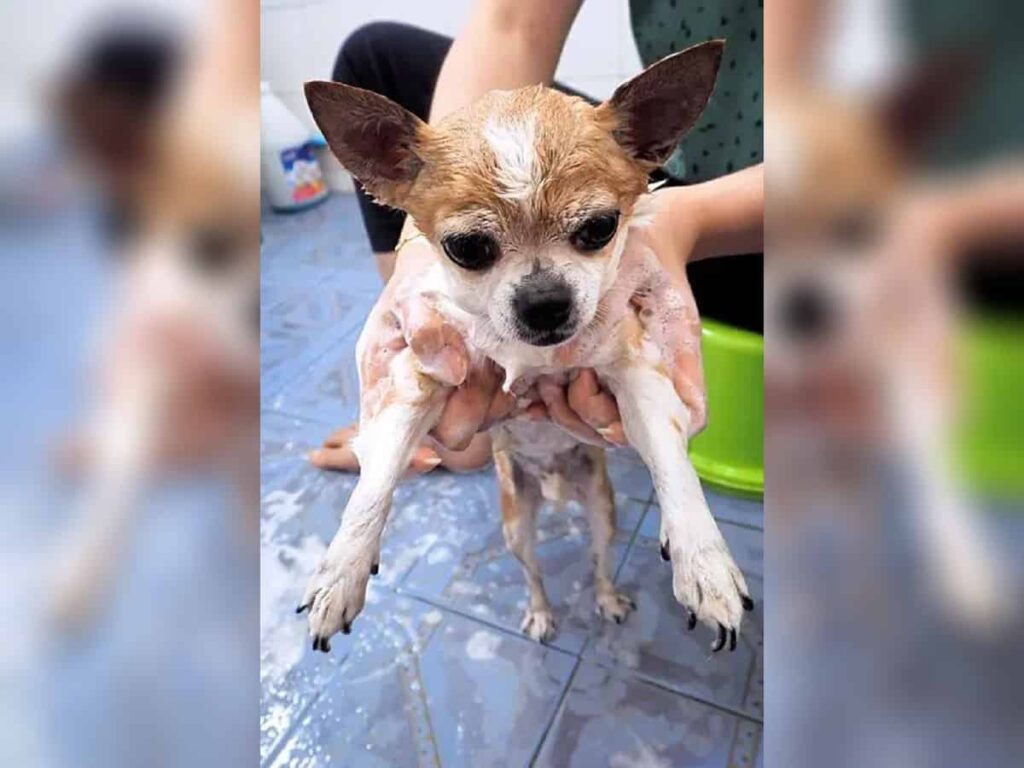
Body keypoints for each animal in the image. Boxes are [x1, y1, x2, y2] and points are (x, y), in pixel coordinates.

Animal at [299, 40, 757, 655]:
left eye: (601, 228)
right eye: (466, 248)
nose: (544, 301)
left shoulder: (636, 373)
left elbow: (673, 466)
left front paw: (704, 564)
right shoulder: (419, 379)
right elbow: (376, 483)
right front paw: (341, 573)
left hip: (602, 508)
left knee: (599, 558)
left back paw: (608, 598)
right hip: (516, 525)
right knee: (533, 574)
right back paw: (540, 613)